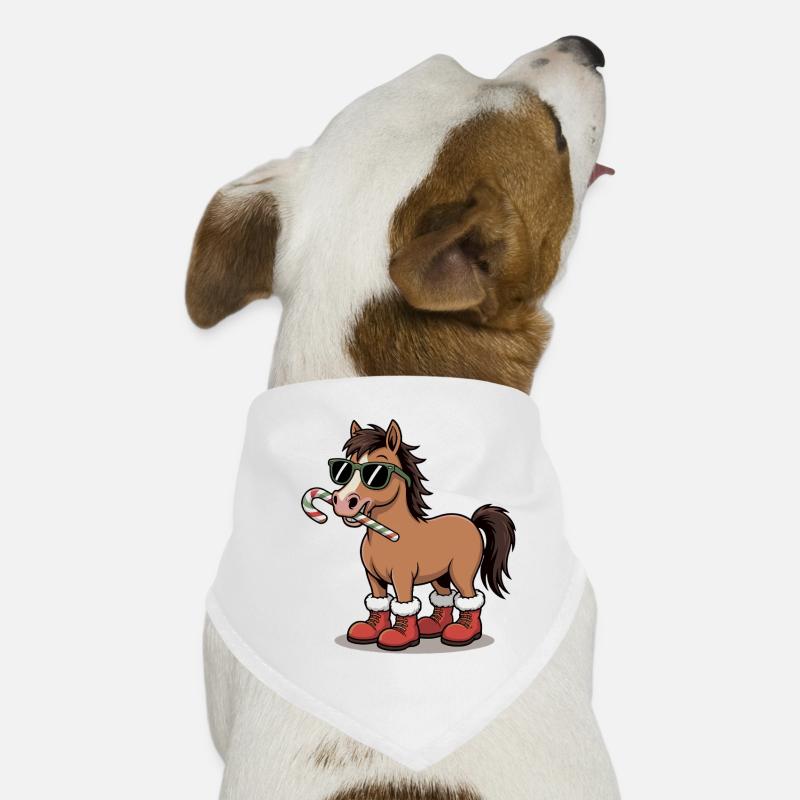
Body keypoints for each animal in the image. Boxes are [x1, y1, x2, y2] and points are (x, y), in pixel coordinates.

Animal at [328, 419, 515, 651]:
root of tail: (471, 521)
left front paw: (400, 636)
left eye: (376, 473)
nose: (343, 501)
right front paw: (370, 629)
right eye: (344, 468)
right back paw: (434, 626)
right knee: (444, 597)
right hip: (440, 576)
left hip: (461, 572)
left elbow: (404, 603)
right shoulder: (373, 576)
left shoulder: (402, 576)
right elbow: (379, 602)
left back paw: (464, 632)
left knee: (469, 597)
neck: (389, 537)